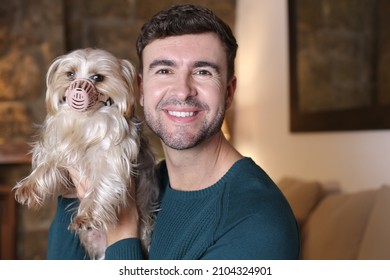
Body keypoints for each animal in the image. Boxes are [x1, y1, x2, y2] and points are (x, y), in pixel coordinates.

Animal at [13, 47, 159, 260]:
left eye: (97, 77)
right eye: (70, 74)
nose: (77, 88)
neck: (85, 120)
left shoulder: (110, 157)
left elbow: (102, 183)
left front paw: (87, 216)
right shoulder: (61, 146)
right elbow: (47, 164)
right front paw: (29, 187)